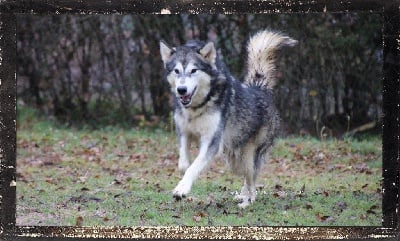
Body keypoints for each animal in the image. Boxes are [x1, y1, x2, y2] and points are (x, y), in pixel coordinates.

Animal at [160, 29, 296, 207]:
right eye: (176, 71)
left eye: (193, 70)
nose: (181, 90)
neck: (198, 106)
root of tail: (260, 89)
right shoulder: (183, 132)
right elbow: (184, 165)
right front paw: (183, 176)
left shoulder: (212, 141)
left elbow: (194, 167)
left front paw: (182, 189)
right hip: (234, 160)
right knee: (247, 177)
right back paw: (242, 196)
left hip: (248, 158)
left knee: (252, 179)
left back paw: (247, 202)